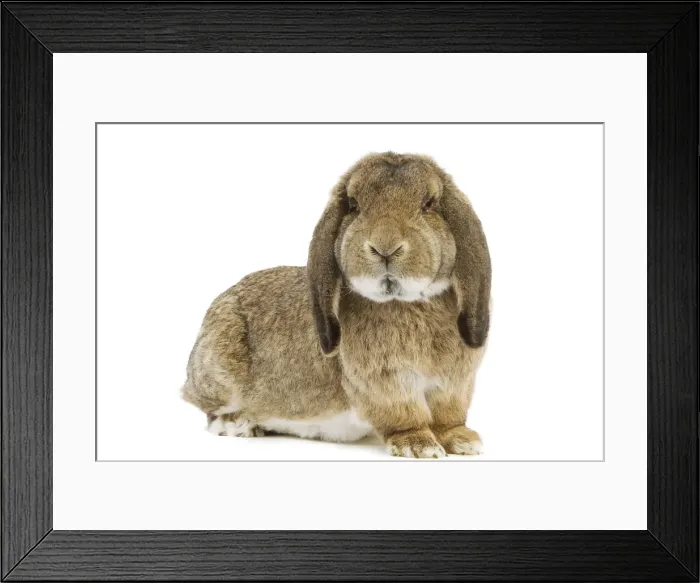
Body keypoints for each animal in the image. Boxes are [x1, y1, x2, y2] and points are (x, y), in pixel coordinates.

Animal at [181, 152, 491, 458]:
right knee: (207, 409)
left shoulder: (454, 384)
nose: (385, 247)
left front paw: (462, 441)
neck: (406, 301)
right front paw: (418, 445)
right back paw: (237, 424)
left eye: (429, 204)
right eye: (353, 205)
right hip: (218, 374)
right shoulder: (384, 381)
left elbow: (447, 416)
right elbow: (405, 414)